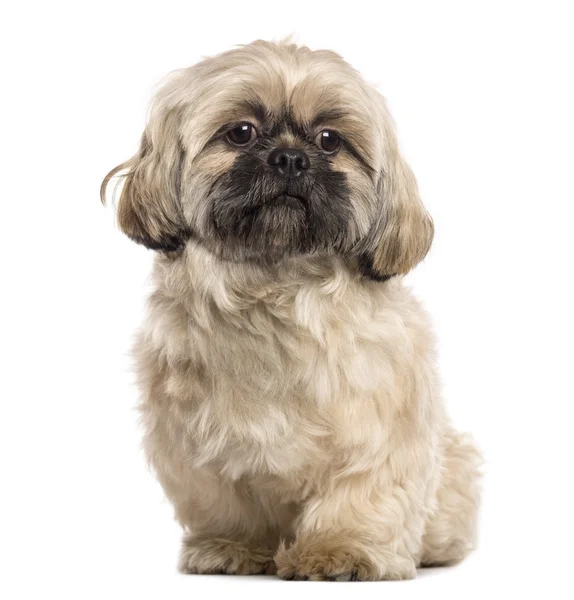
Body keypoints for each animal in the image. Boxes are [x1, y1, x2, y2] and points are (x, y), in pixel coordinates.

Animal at [102, 38, 482, 580]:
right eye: (241, 132)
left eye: (329, 140)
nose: (289, 158)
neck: (276, 285)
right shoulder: (195, 444)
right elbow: (227, 501)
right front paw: (235, 547)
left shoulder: (380, 429)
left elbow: (360, 493)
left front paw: (342, 550)